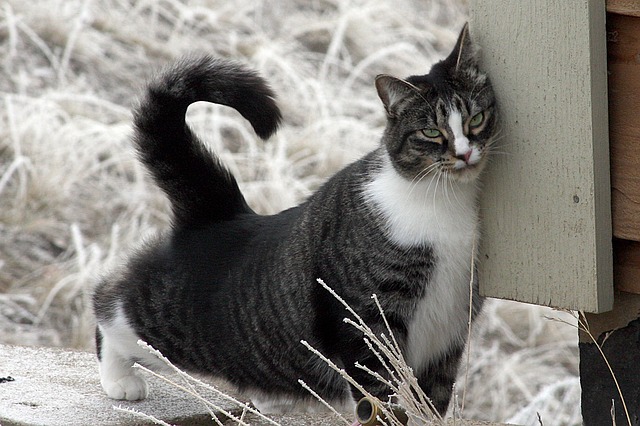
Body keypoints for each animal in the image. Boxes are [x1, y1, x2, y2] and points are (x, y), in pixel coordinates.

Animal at [92, 23, 498, 416]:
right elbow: (380, 394)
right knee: (109, 302)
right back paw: (119, 378)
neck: (444, 201)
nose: (465, 154)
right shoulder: (364, 322)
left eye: (477, 118)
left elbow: (433, 400)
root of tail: (220, 214)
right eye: (431, 131)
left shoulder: (449, 335)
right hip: (170, 322)